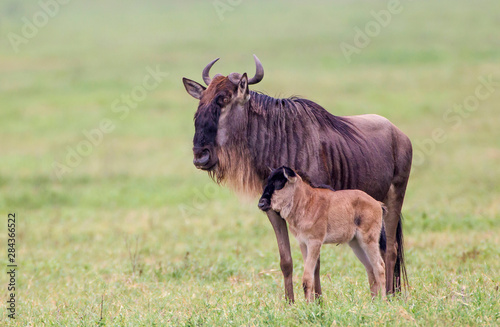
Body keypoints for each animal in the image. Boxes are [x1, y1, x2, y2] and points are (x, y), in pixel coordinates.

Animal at [258, 168, 386, 302]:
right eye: (268, 181)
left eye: (278, 183)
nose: (261, 204)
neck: (306, 202)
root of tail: (377, 204)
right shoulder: (303, 243)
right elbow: (310, 274)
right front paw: (310, 303)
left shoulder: (315, 242)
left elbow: (307, 277)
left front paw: (308, 304)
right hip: (356, 244)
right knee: (370, 268)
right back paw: (373, 302)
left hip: (369, 240)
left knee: (379, 266)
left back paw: (383, 301)